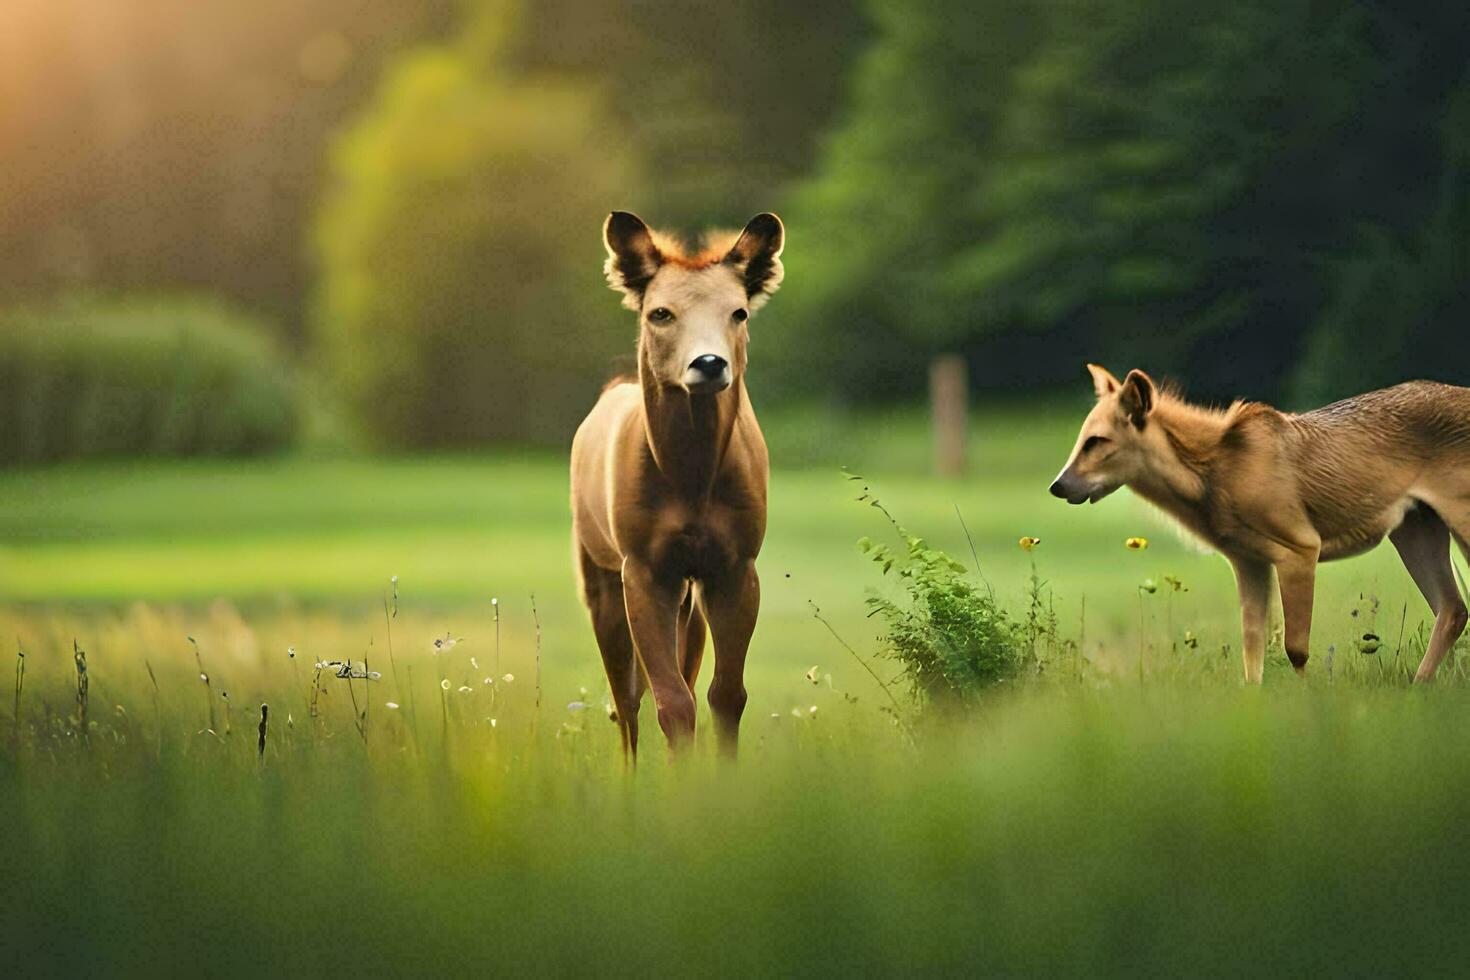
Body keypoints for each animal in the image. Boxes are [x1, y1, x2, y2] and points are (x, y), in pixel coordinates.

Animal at [570, 208, 787, 758]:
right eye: (661, 313)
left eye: (739, 313)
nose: (708, 364)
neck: (691, 480)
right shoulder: (643, 567)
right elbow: (669, 702)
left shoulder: (735, 564)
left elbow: (725, 695)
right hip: (598, 570)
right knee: (624, 699)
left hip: (689, 590)